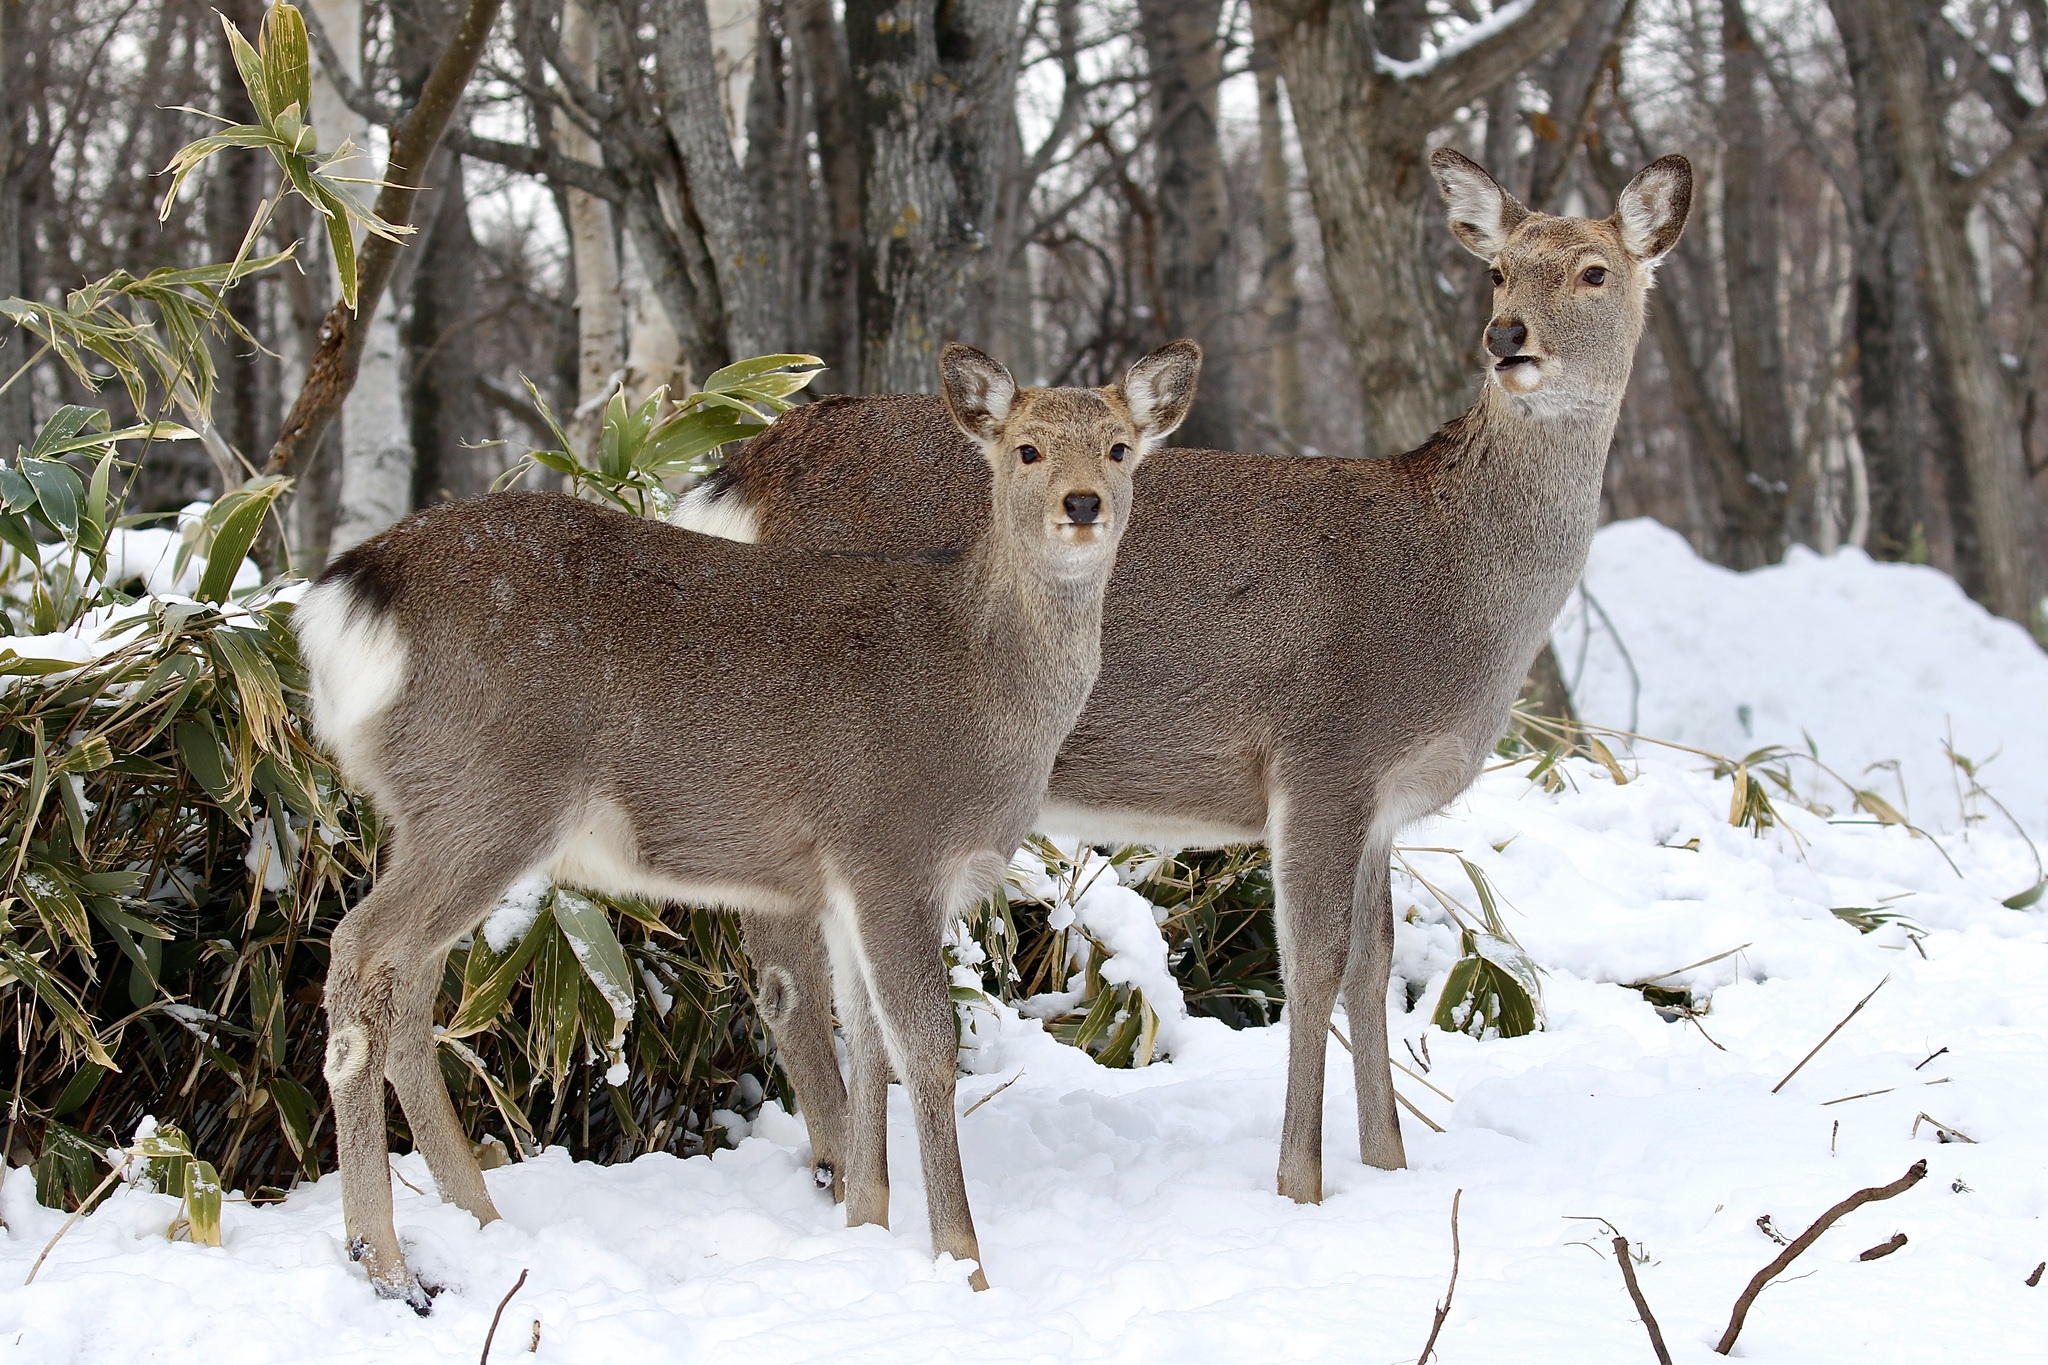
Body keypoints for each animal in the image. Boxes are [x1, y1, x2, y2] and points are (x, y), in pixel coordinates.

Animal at [293, 340, 1202, 1310]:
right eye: (1026, 449)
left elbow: (866, 1042)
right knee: (360, 951)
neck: (983, 683)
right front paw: (966, 1264)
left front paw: (866, 1229)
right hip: (490, 793)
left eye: (1119, 447)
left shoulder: (843, 881)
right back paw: (385, 1261)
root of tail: (347, 598)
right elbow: (925, 1048)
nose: (1083, 504)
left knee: (411, 985)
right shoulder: (891, 848)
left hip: (428, 811)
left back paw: (482, 1226)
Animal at [675, 151, 1692, 1208]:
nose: (1508, 336)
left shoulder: (1383, 796)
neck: (1457, 585)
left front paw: (1391, 1161)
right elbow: (1314, 962)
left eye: (1595, 271)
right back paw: (841, 1167)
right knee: (786, 976)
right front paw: (1301, 1181)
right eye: (1498, 272)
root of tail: (745, 471)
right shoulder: (1325, 746)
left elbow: (1373, 964)